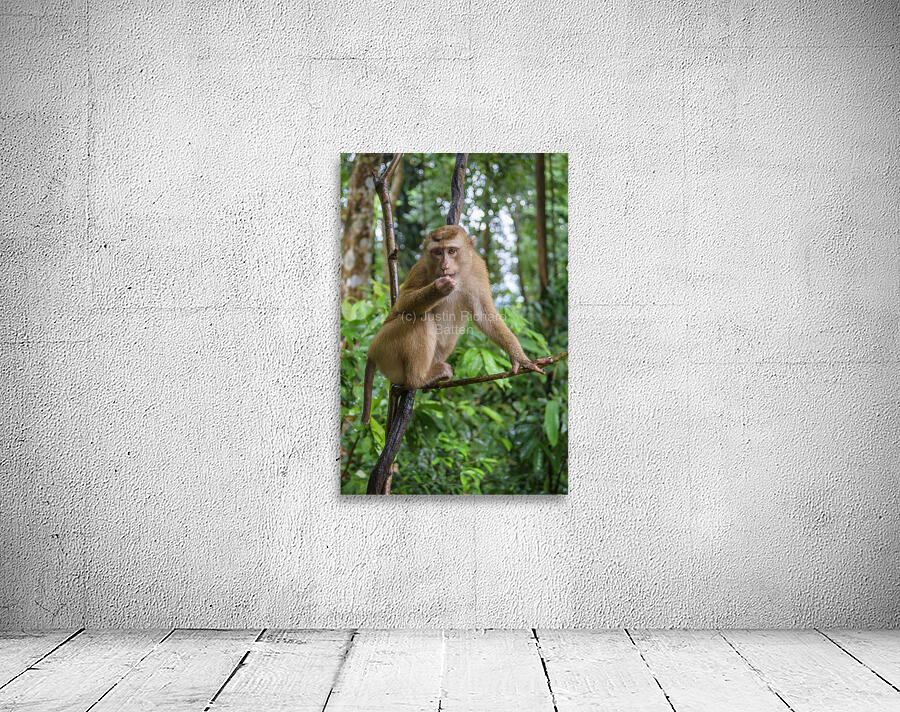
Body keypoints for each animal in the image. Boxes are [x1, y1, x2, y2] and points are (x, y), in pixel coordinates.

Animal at [361, 224, 549, 424]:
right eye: (437, 252)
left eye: (451, 251)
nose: (444, 266)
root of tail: (371, 350)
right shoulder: (421, 266)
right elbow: (403, 303)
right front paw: (438, 288)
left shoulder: (478, 268)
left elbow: (485, 315)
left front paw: (520, 359)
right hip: (385, 345)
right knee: (421, 318)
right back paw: (418, 379)